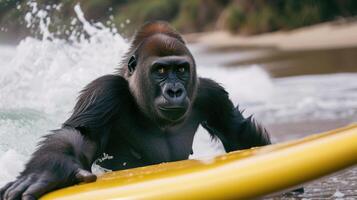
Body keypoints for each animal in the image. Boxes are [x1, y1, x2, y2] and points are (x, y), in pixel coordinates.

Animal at [0, 21, 268, 199]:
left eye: (181, 69)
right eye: (161, 70)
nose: (174, 91)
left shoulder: (210, 93)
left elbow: (237, 133)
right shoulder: (104, 91)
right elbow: (79, 134)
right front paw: (52, 169)